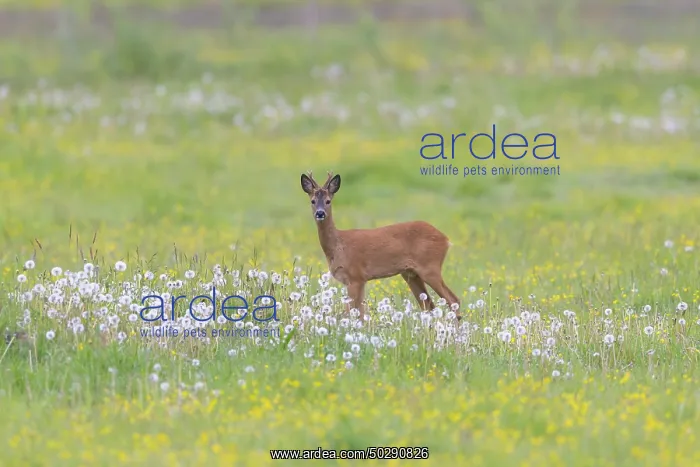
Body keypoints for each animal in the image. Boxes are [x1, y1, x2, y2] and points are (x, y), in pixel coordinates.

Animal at [300, 171, 461, 321]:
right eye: (313, 201)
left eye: (328, 201)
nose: (320, 213)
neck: (338, 247)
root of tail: (446, 239)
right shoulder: (355, 280)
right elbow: (359, 312)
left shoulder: (356, 276)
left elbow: (355, 313)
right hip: (411, 274)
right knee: (429, 305)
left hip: (430, 267)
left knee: (453, 300)